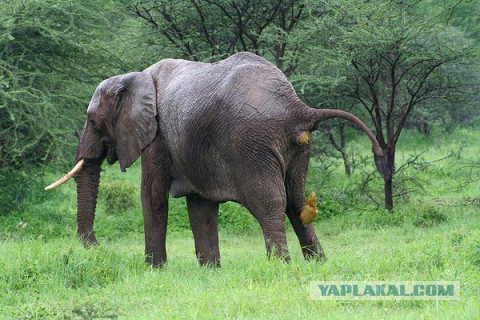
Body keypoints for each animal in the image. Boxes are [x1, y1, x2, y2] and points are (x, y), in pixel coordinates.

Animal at [45, 52, 382, 268]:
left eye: (93, 121)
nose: (95, 247)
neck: (133, 77)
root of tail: (299, 108)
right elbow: (200, 205)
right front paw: (210, 270)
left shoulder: (158, 137)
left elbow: (152, 196)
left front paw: (153, 269)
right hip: (298, 149)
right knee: (297, 201)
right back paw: (318, 264)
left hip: (252, 144)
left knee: (270, 203)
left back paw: (281, 267)